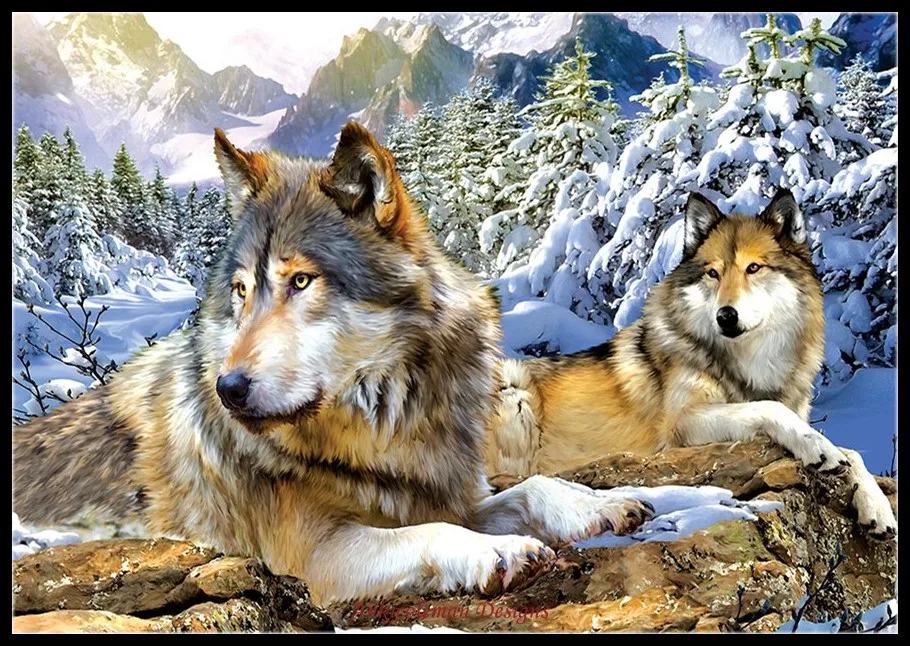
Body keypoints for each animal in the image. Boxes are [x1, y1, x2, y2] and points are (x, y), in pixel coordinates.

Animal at [14, 122, 654, 605]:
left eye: (300, 281)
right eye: (242, 291)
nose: (228, 388)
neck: (384, 425)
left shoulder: (451, 493)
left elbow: (534, 487)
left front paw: (601, 504)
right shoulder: (315, 555)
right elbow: (431, 533)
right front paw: (497, 550)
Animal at [486, 189, 896, 540]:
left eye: (754, 268)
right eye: (713, 273)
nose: (725, 316)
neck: (750, 362)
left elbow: (852, 453)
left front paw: (877, 507)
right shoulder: (682, 424)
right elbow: (771, 408)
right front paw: (816, 446)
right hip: (514, 390)